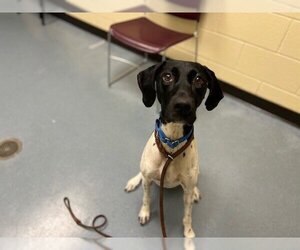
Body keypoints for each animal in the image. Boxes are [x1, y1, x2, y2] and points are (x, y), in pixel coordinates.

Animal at [124, 59, 223, 237]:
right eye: (167, 76)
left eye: (199, 80)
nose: (183, 106)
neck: (171, 146)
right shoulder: (148, 181)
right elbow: (146, 198)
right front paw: (145, 212)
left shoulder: (187, 192)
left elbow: (187, 214)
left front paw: (188, 234)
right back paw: (134, 181)